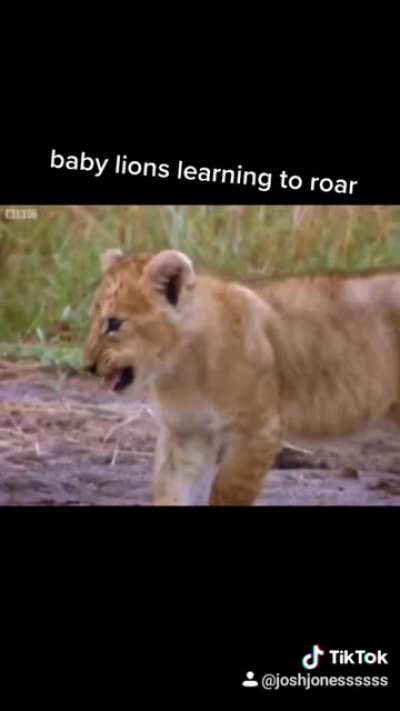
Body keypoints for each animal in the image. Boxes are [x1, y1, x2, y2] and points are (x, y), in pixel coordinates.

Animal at [84, 248, 400, 506]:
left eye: (114, 324)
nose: (87, 365)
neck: (179, 369)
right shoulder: (188, 432)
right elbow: (173, 491)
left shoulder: (257, 430)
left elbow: (228, 493)